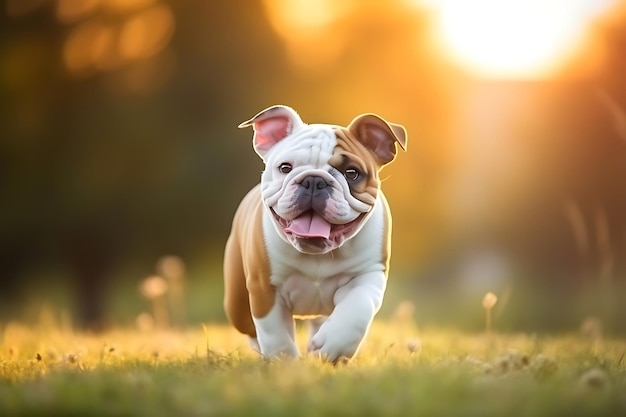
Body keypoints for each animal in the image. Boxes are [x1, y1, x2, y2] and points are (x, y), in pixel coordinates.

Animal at [223, 105, 404, 360]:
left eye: (352, 173)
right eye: (285, 168)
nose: (314, 180)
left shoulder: (368, 274)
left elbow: (358, 307)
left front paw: (335, 344)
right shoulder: (264, 287)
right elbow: (275, 333)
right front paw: (284, 362)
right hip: (236, 301)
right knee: (248, 326)